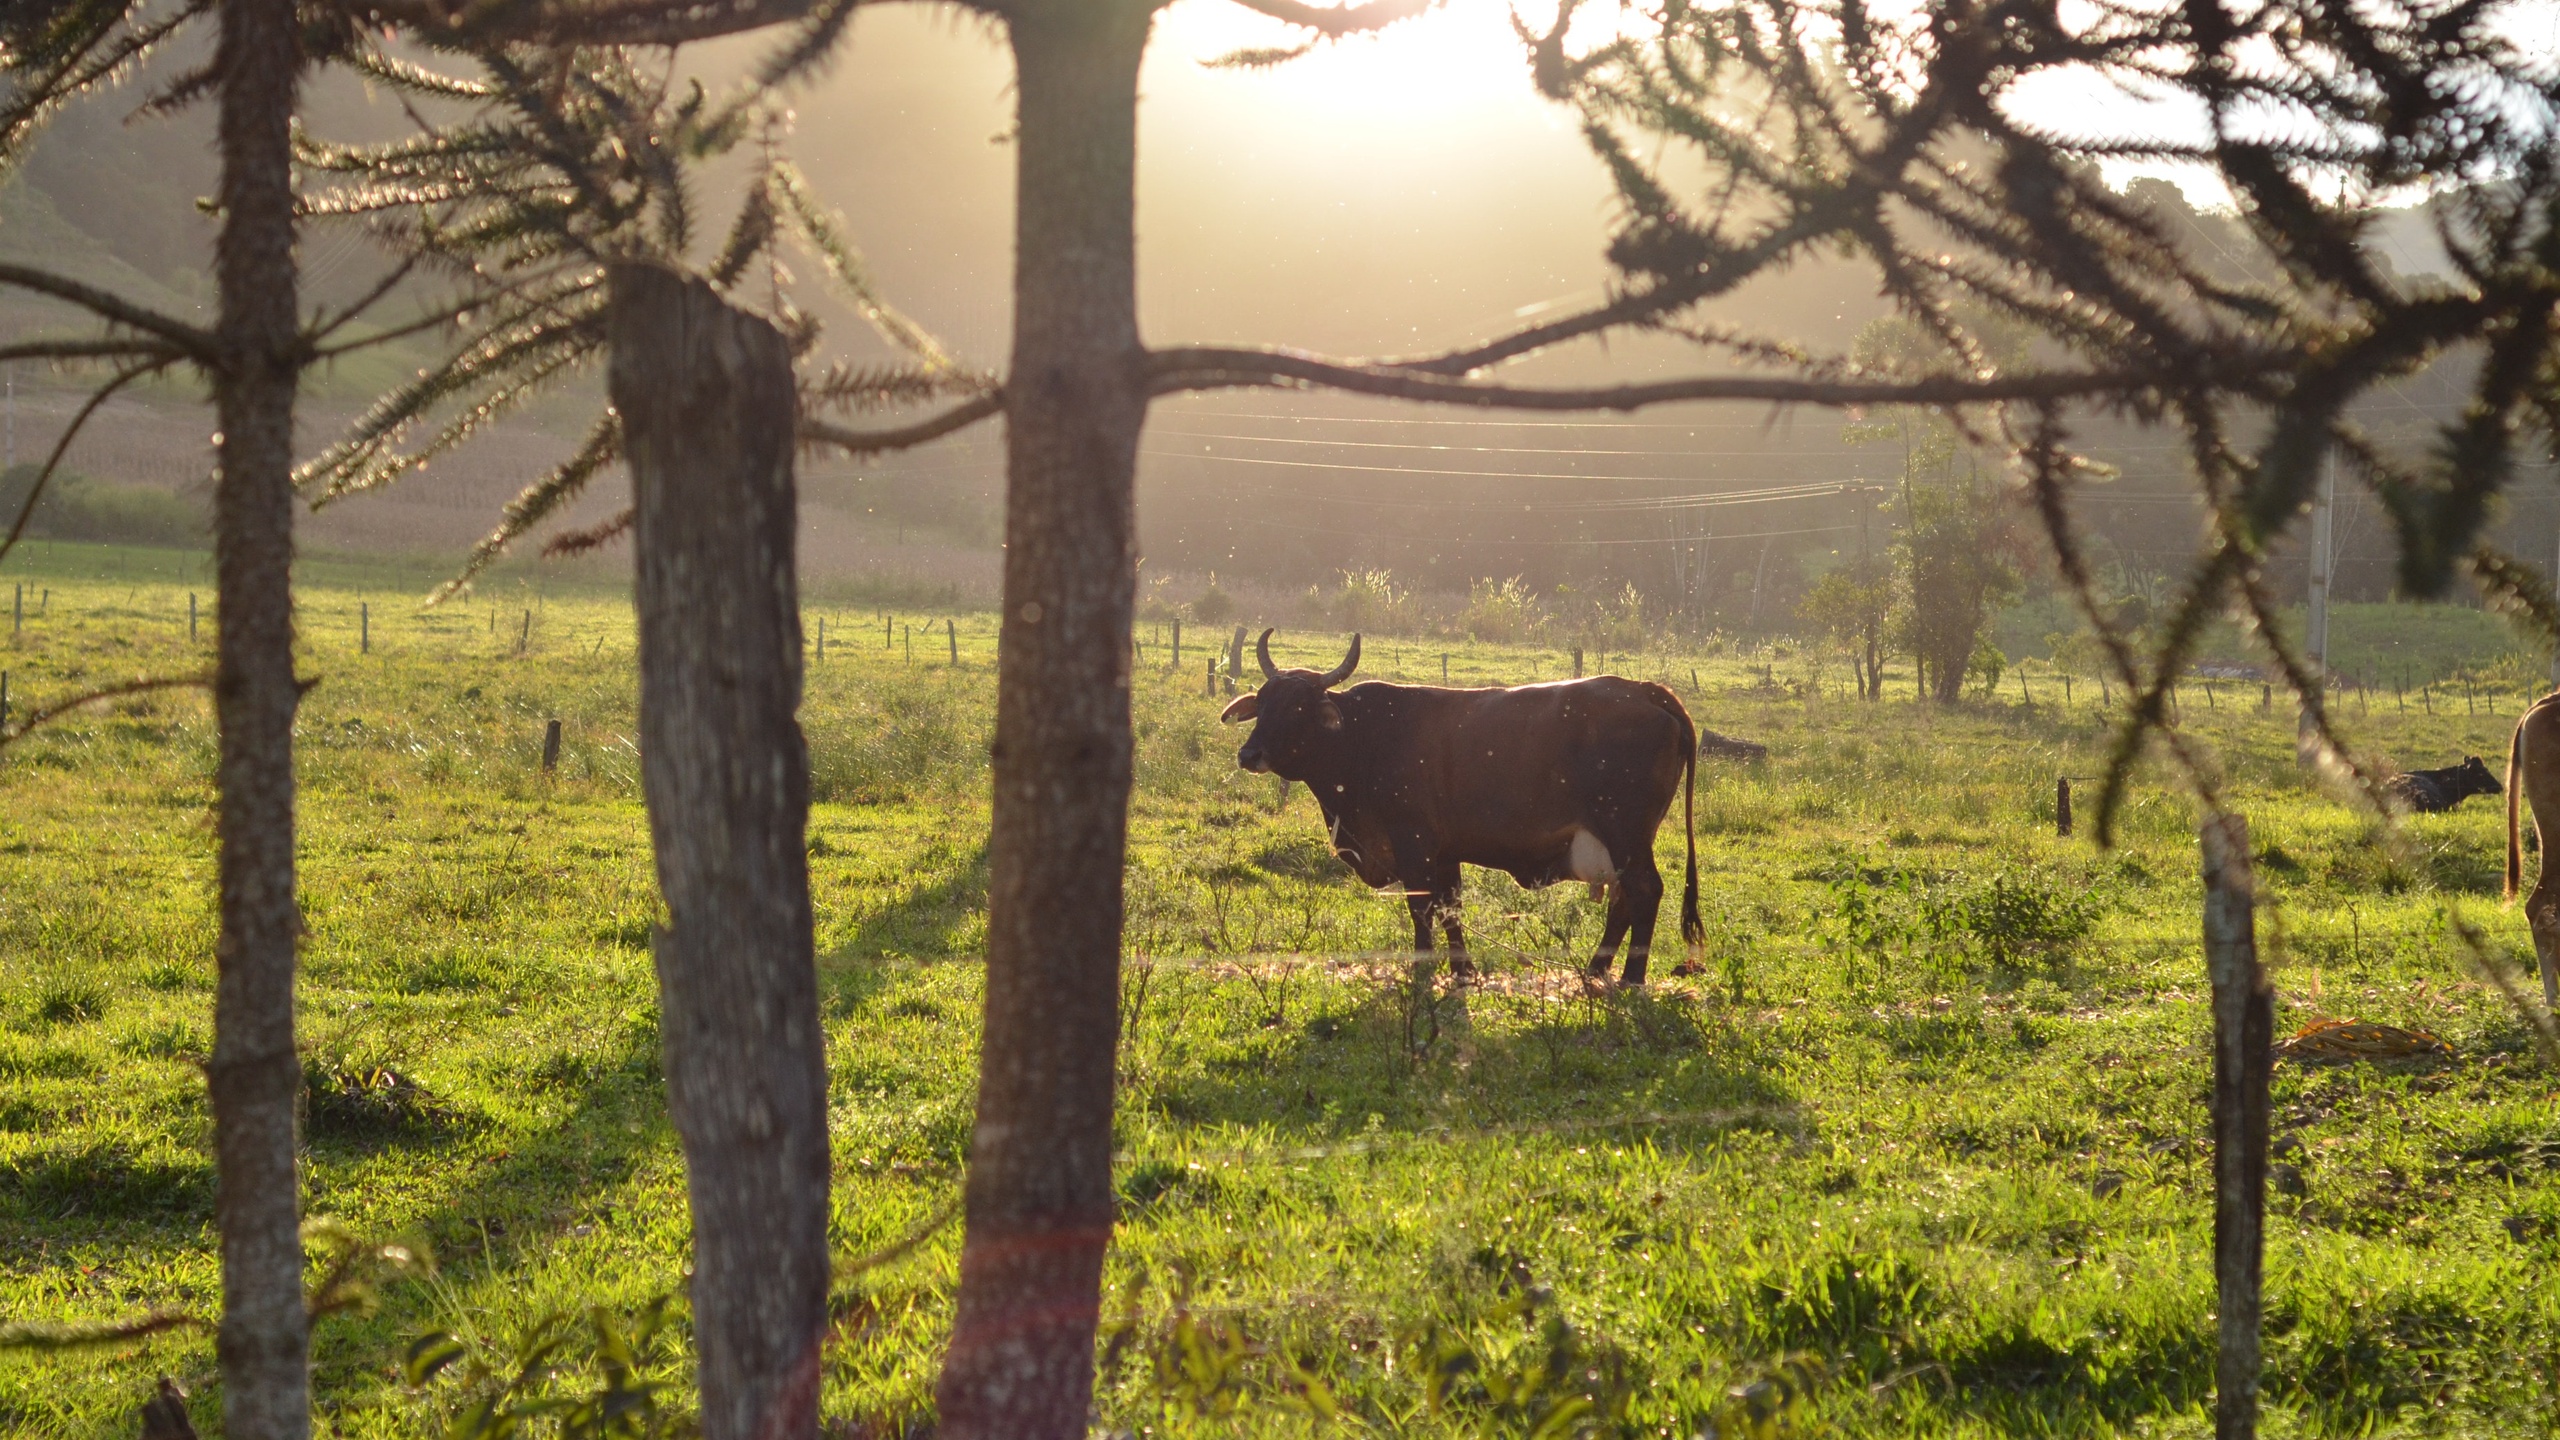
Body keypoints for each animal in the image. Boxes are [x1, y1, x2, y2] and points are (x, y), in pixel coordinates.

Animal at [1218, 630, 1740, 983]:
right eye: (1263, 703)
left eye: (1298, 707)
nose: (1249, 754)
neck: (1363, 736)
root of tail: (1644, 688)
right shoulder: (1445, 852)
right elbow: (1451, 909)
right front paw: (1462, 970)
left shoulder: (1414, 845)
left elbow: (1422, 908)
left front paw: (1423, 970)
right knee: (1624, 898)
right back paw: (1595, 971)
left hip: (1625, 832)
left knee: (1645, 891)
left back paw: (1630, 978)